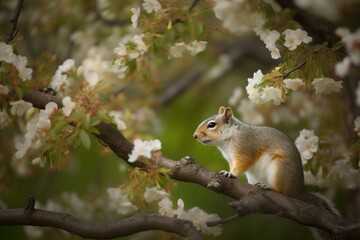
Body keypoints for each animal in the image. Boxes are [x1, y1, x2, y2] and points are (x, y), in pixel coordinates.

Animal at [193, 106, 338, 240]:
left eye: (211, 124)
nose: (194, 136)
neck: (231, 135)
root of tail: (298, 191)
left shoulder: (245, 148)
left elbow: (242, 164)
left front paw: (230, 174)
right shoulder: (231, 159)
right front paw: (229, 171)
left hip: (279, 169)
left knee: (283, 191)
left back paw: (269, 187)